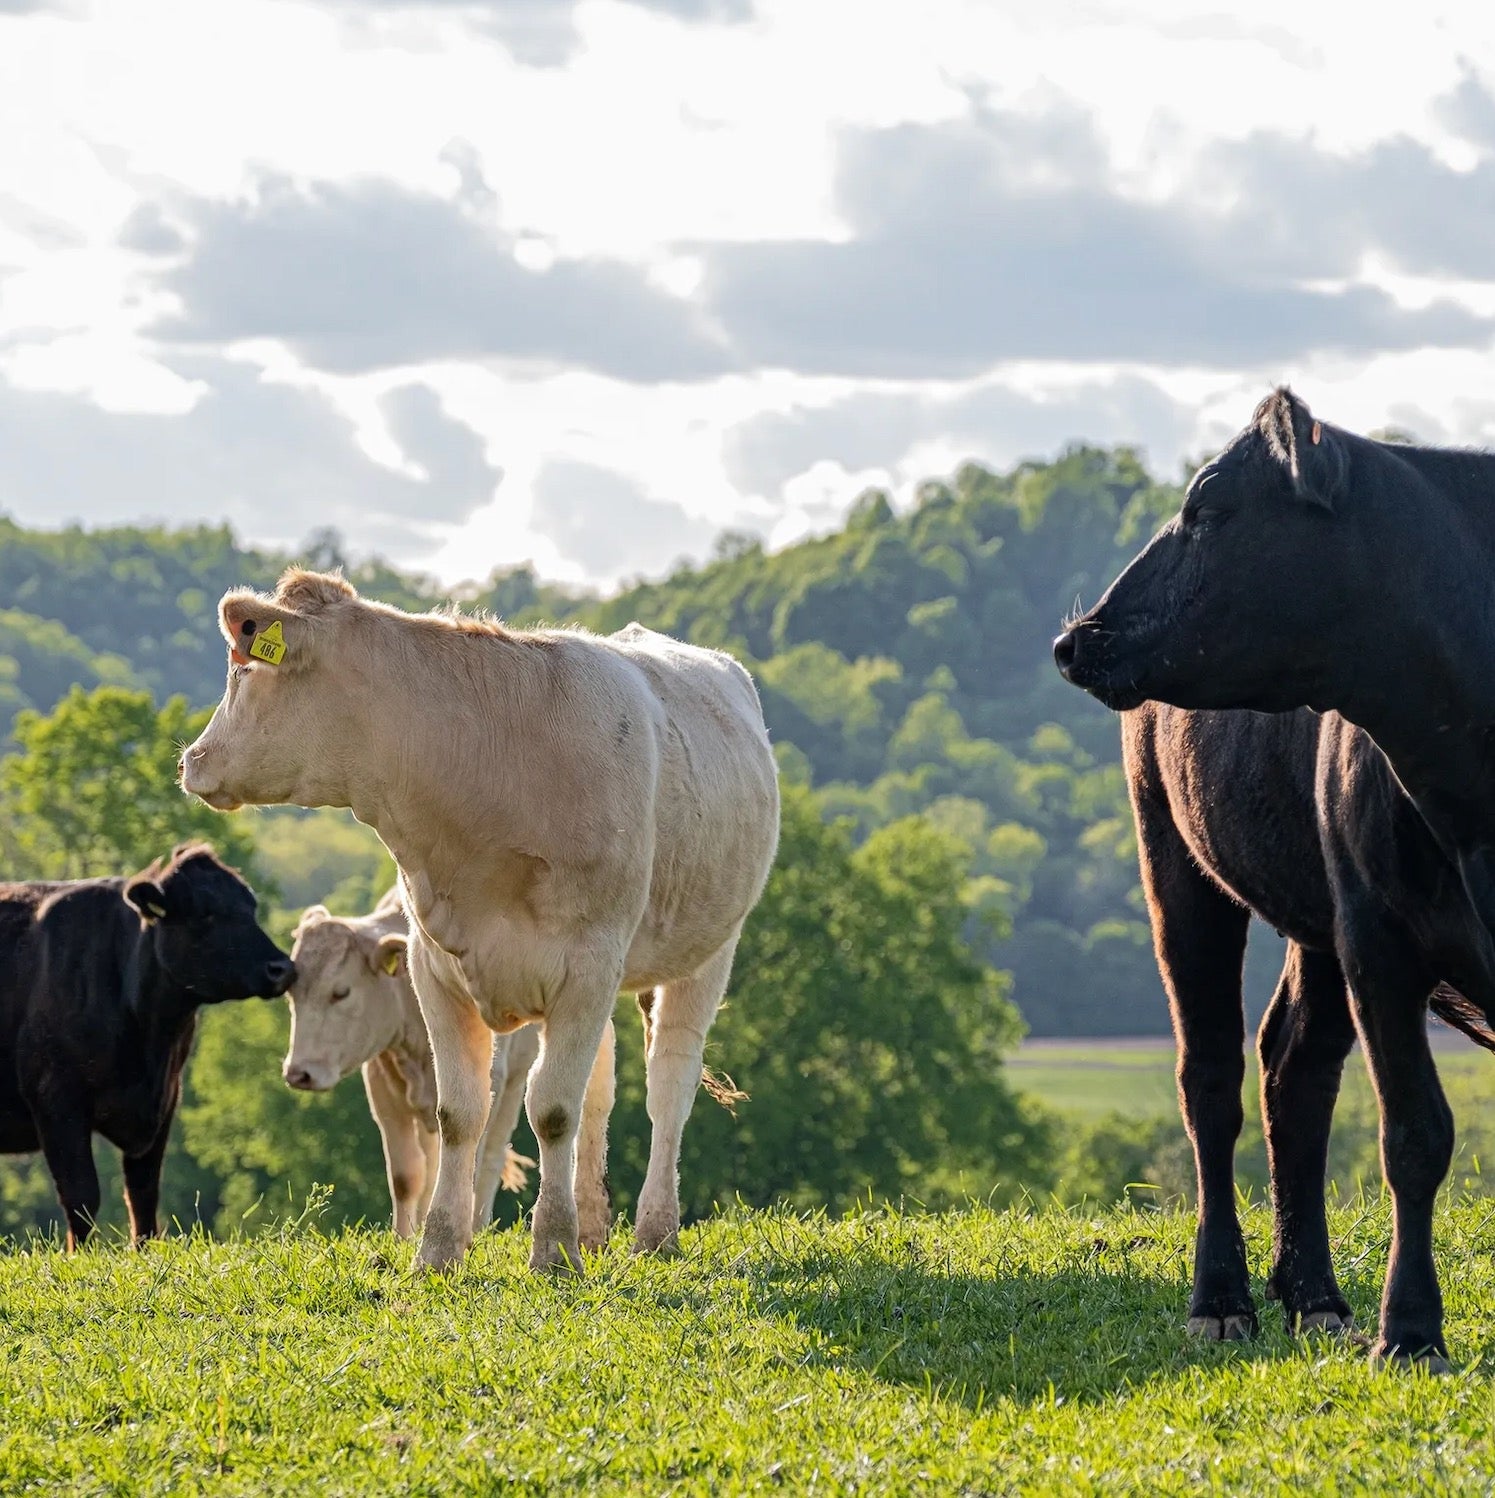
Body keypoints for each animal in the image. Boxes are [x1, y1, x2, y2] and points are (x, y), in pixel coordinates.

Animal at [0, 844, 293, 1252]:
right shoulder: (56, 1098)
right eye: (205, 913)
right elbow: (81, 1194)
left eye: (250, 907)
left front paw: (145, 1248)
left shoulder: (166, 1099)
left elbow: (143, 1191)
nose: (282, 968)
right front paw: (79, 1256)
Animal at [283, 886, 611, 1240]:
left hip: (515, 1081)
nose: (298, 1073)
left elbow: (471, 1160)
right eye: (292, 993)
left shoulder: (491, 1080)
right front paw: (403, 1237)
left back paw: (478, 1224)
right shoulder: (383, 1089)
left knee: (491, 1156)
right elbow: (406, 1177)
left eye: (341, 992)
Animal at [1060, 389, 1495, 1372]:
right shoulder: (1380, 938)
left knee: (1293, 1068)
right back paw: (1221, 1297)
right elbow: (1414, 1133)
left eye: (1208, 506)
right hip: (1176, 860)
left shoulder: (1359, 929)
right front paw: (1410, 1333)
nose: (1076, 636)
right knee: (1211, 1077)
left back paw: (1313, 1296)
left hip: (1313, 916)